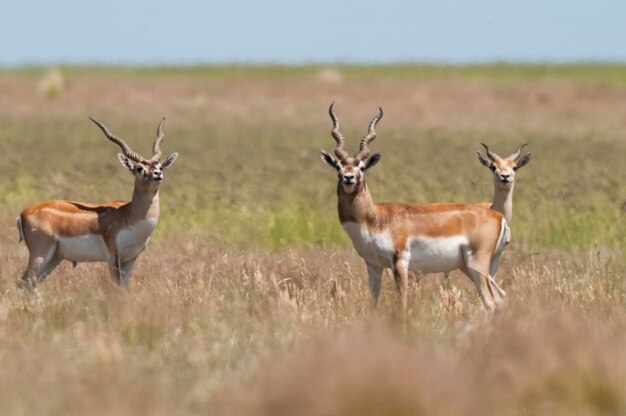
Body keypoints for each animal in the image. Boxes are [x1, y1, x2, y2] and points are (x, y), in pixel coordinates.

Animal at [15, 118, 177, 290]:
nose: (157, 174)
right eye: (139, 168)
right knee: (22, 282)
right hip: (40, 254)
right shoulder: (113, 257)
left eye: (159, 166)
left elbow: (125, 288)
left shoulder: (130, 258)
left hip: (54, 257)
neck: (129, 215)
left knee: (31, 284)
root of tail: (23, 213)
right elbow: (117, 287)